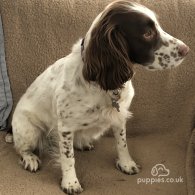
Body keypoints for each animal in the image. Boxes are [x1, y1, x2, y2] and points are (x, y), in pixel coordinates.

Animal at [11, 0, 189, 194]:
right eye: (147, 33)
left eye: (158, 26)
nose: (186, 50)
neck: (104, 83)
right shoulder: (65, 127)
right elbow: (68, 157)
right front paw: (70, 182)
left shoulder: (119, 116)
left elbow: (122, 143)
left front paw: (126, 164)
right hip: (29, 130)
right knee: (21, 148)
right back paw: (30, 158)